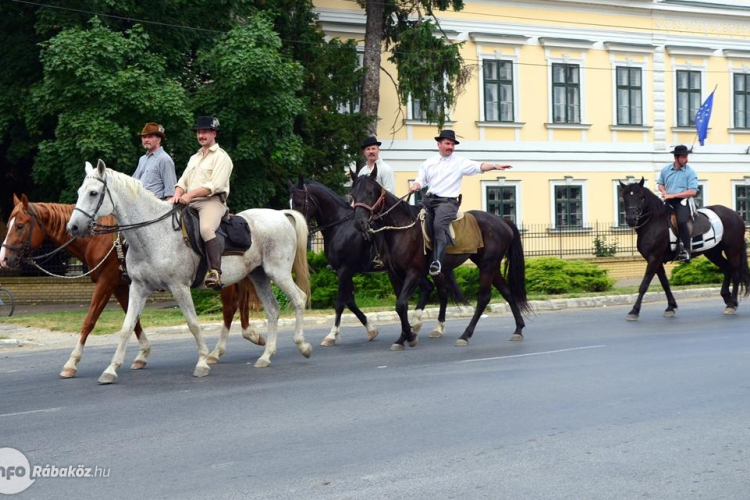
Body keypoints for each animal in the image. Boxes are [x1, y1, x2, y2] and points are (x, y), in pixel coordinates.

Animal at [0, 193, 266, 376]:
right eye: (10, 224)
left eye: (20, 225)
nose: (4, 259)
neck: (98, 241)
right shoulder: (123, 286)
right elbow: (132, 320)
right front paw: (142, 354)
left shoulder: (106, 284)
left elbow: (89, 321)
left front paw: (72, 362)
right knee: (235, 305)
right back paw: (238, 341)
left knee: (230, 306)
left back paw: (226, 347)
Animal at [65, 160, 312, 382]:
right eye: (79, 192)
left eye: (94, 193)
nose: (73, 227)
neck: (154, 234)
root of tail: (280, 214)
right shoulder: (138, 288)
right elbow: (127, 326)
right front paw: (111, 369)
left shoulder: (179, 287)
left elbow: (193, 324)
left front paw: (202, 362)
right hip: (259, 275)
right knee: (272, 310)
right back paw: (266, 355)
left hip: (278, 273)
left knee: (299, 299)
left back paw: (302, 345)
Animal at [290, 178, 468, 346]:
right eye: (290, 203)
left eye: (298, 202)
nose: (295, 228)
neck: (340, 226)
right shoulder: (346, 272)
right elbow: (350, 301)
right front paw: (371, 329)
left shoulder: (344, 270)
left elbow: (340, 302)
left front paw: (332, 335)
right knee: (428, 288)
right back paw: (416, 323)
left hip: (432, 271)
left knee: (442, 291)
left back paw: (437, 327)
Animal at [350, 168, 532, 348]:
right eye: (353, 194)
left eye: (370, 192)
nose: (359, 223)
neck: (401, 229)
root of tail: (503, 222)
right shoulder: (394, 275)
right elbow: (401, 306)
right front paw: (403, 338)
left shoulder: (414, 273)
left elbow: (401, 304)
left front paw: (410, 335)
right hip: (489, 266)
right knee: (507, 292)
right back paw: (518, 329)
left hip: (488, 266)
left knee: (483, 298)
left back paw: (465, 335)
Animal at [620, 179, 748, 320]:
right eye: (624, 197)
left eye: (641, 197)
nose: (631, 219)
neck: (654, 222)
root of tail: (736, 215)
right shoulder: (655, 261)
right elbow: (665, 283)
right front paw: (670, 307)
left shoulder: (654, 259)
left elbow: (644, 285)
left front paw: (634, 311)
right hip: (713, 252)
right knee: (726, 269)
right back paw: (727, 298)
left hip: (733, 250)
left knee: (735, 274)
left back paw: (732, 303)